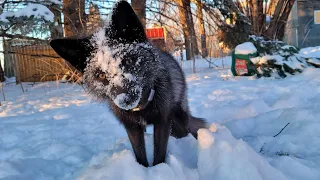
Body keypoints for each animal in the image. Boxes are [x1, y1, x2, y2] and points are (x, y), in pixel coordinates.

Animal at [50, 0, 205, 167]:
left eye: (129, 61)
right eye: (101, 75)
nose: (124, 100)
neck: (142, 108)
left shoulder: (163, 121)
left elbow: (159, 154)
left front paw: (159, 169)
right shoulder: (132, 127)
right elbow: (139, 155)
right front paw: (143, 169)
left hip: (178, 117)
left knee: (184, 130)